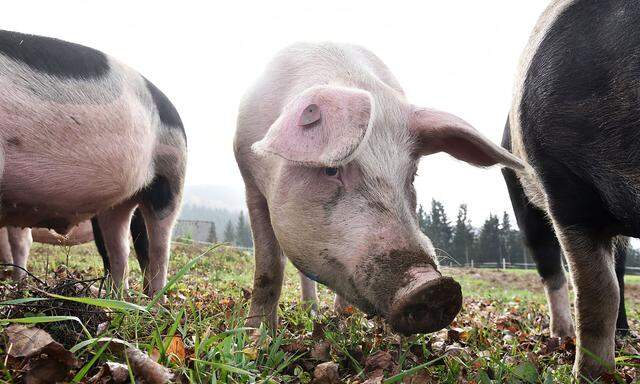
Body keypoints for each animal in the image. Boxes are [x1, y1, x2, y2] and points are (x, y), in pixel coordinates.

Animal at [0, 30, 185, 296]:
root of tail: (174, 111)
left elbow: (20, 242)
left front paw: (18, 286)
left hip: (171, 172)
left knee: (158, 246)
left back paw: (155, 302)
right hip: (116, 206)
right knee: (119, 251)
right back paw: (118, 301)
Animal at [500, 0, 640, 378]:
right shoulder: (564, 186)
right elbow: (597, 291)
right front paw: (593, 377)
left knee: (619, 268)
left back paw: (624, 336)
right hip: (520, 194)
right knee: (551, 267)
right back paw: (561, 337)